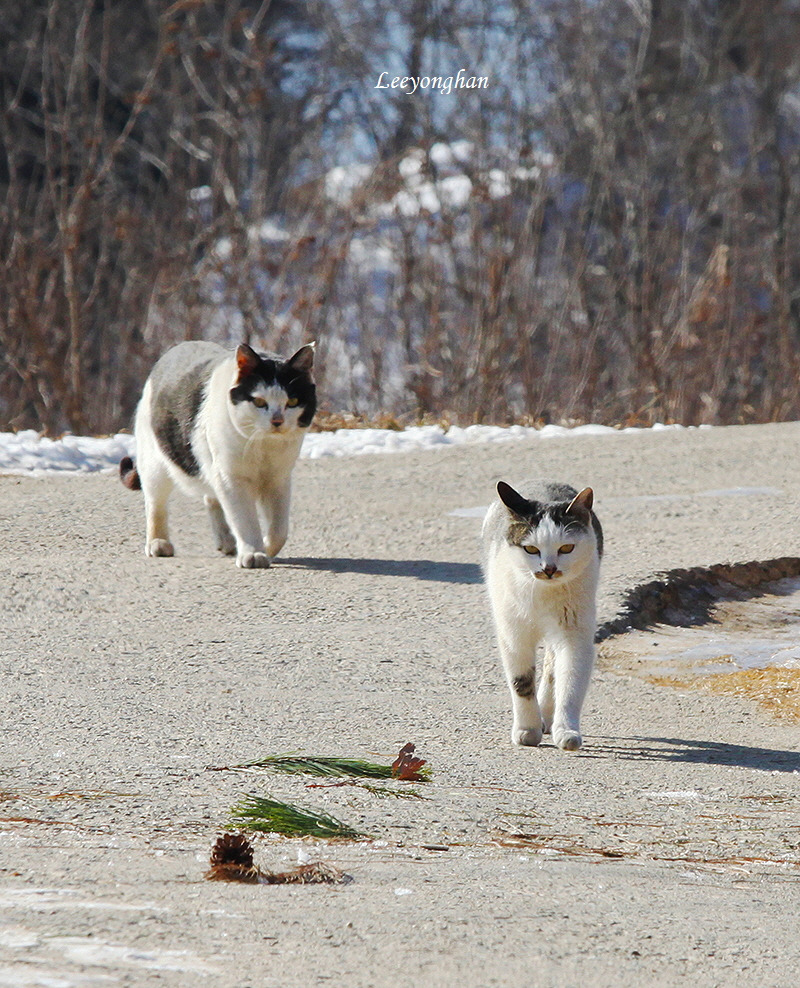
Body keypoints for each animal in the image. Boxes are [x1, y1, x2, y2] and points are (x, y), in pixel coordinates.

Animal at [122, 342, 316, 568]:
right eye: (259, 402)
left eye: (292, 401)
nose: (277, 420)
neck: (262, 446)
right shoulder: (232, 477)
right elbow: (245, 519)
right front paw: (253, 553)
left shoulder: (278, 479)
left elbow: (279, 530)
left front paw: (266, 547)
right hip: (155, 464)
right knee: (155, 503)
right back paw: (158, 543)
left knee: (211, 498)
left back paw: (226, 541)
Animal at [482, 478, 600, 748]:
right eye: (531, 549)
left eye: (566, 548)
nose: (549, 569)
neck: (542, 593)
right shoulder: (514, 635)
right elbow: (521, 682)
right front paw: (527, 730)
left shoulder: (575, 635)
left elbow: (570, 682)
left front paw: (566, 731)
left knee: (552, 667)